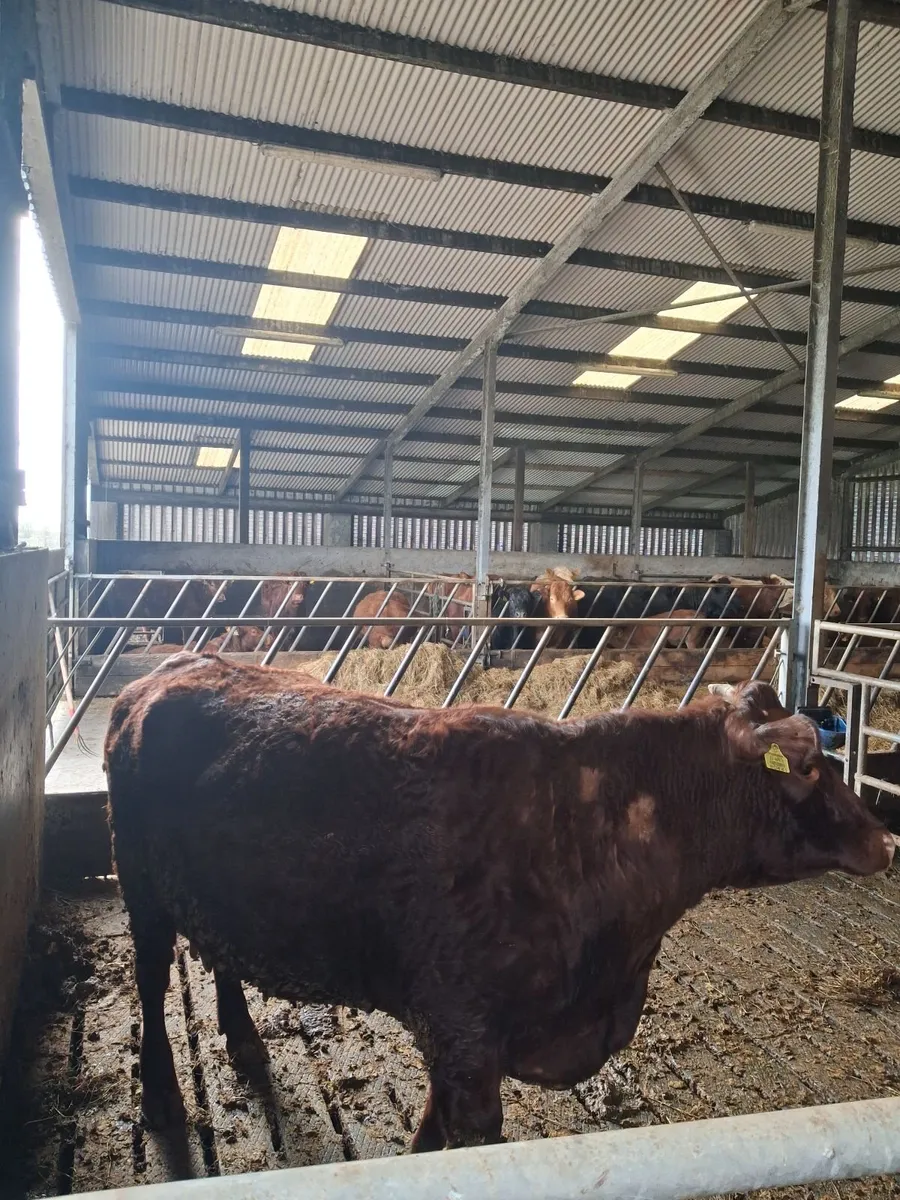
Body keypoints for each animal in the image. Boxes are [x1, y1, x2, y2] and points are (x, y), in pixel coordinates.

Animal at [104, 665, 894, 1147]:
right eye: (808, 765)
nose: (886, 837)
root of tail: (164, 673)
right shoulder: (462, 1034)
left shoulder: (453, 1045)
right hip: (139, 885)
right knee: (151, 978)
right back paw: (161, 1098)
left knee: (220, 955)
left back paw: (243, 1039)